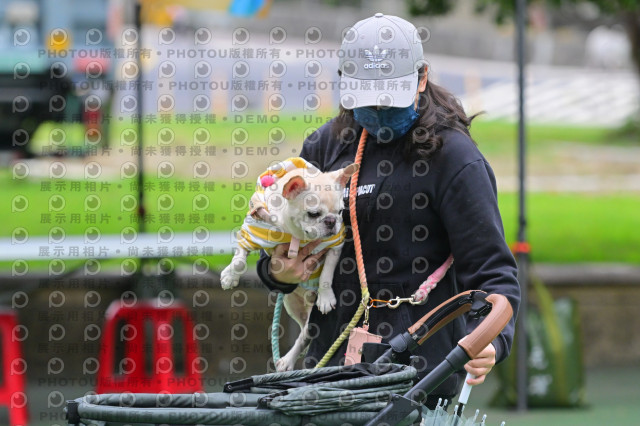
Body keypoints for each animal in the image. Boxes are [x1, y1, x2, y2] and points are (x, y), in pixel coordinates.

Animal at [220, 157, 358, 371]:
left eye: (340, 211)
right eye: (313, 213)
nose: (331, 221)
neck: (296, 233)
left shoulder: (335, 245)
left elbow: (326, 274)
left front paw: (326, 297)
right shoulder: (251, 233)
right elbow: (239, 261)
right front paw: (229, 276)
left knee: (305, 335)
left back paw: (288, 360)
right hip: (291, 303)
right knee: (303, 332)